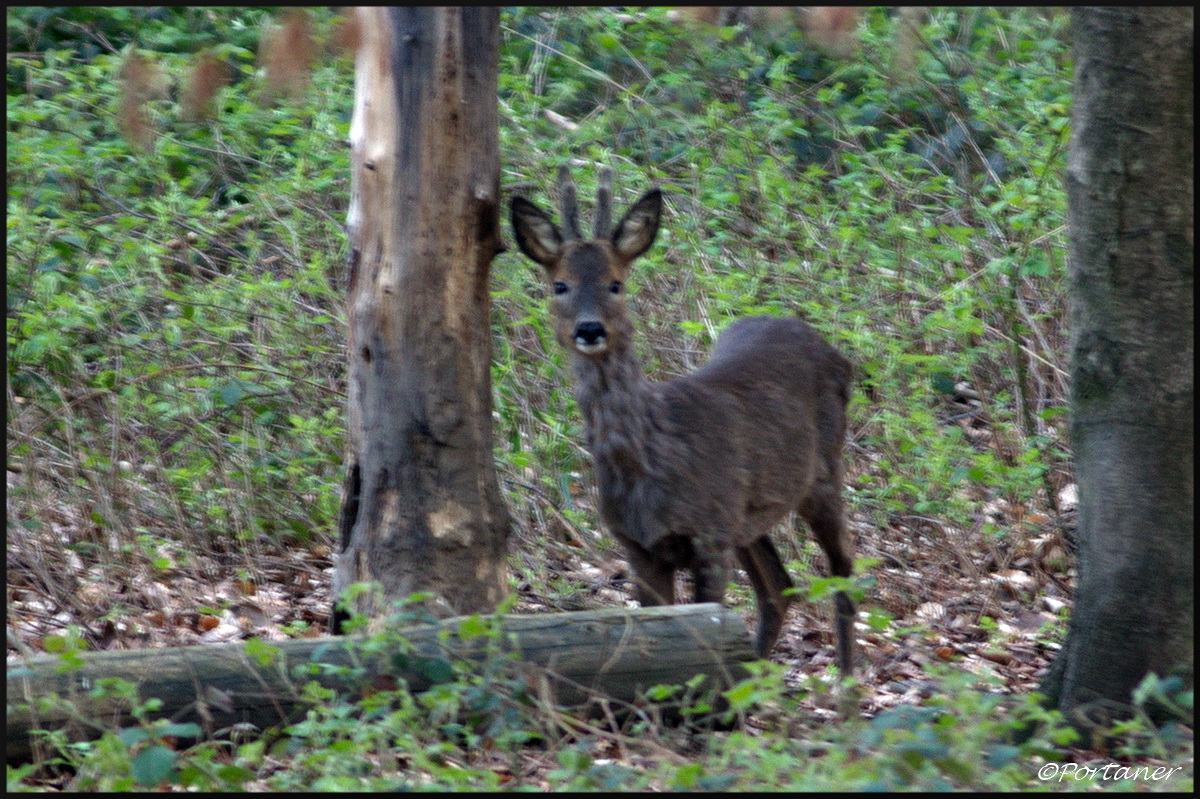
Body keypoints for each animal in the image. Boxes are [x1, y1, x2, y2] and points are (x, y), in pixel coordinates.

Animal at [506, 166, 854, 667]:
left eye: (616, 283)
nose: (589, 329)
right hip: (749, 515)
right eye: (560, 285)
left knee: (843, 568)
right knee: (779, 587)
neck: (648, 462)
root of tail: (835, 352)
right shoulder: (638, 547)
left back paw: (846, 681)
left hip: (821, 474)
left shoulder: (709, 536)